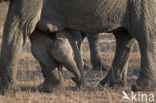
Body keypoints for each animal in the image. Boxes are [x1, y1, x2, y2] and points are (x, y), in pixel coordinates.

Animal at [0, 0, 155, 92]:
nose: (75, 81)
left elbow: (19, 25)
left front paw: (8, 91)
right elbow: (37, 34)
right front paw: (53, 88)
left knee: (145, 33)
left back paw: (141, 88)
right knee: (124, 36)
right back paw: (110, 85)